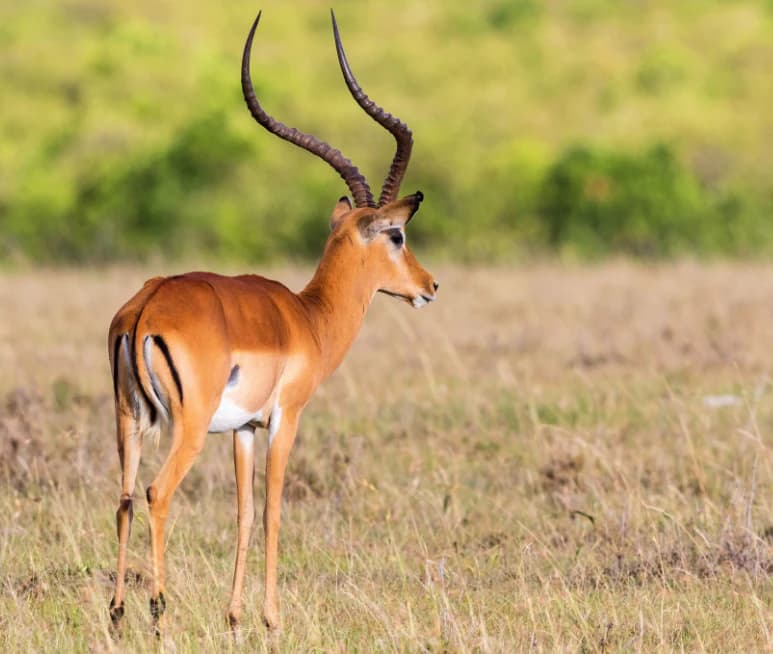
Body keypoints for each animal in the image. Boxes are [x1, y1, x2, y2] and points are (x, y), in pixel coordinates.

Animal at [107, 10, 437, 634]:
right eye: (397, 235)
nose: (429, 286)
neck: (309, 318)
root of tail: (147, 306)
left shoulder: (243, 429)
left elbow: (242, 513)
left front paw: (234, 616)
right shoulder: (286, 419)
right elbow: (273, 511)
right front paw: (271, 619)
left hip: (129, 421)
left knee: (125, 498)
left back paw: (115, 614)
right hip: (186, 428)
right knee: (158, 493)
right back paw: (157, 611)